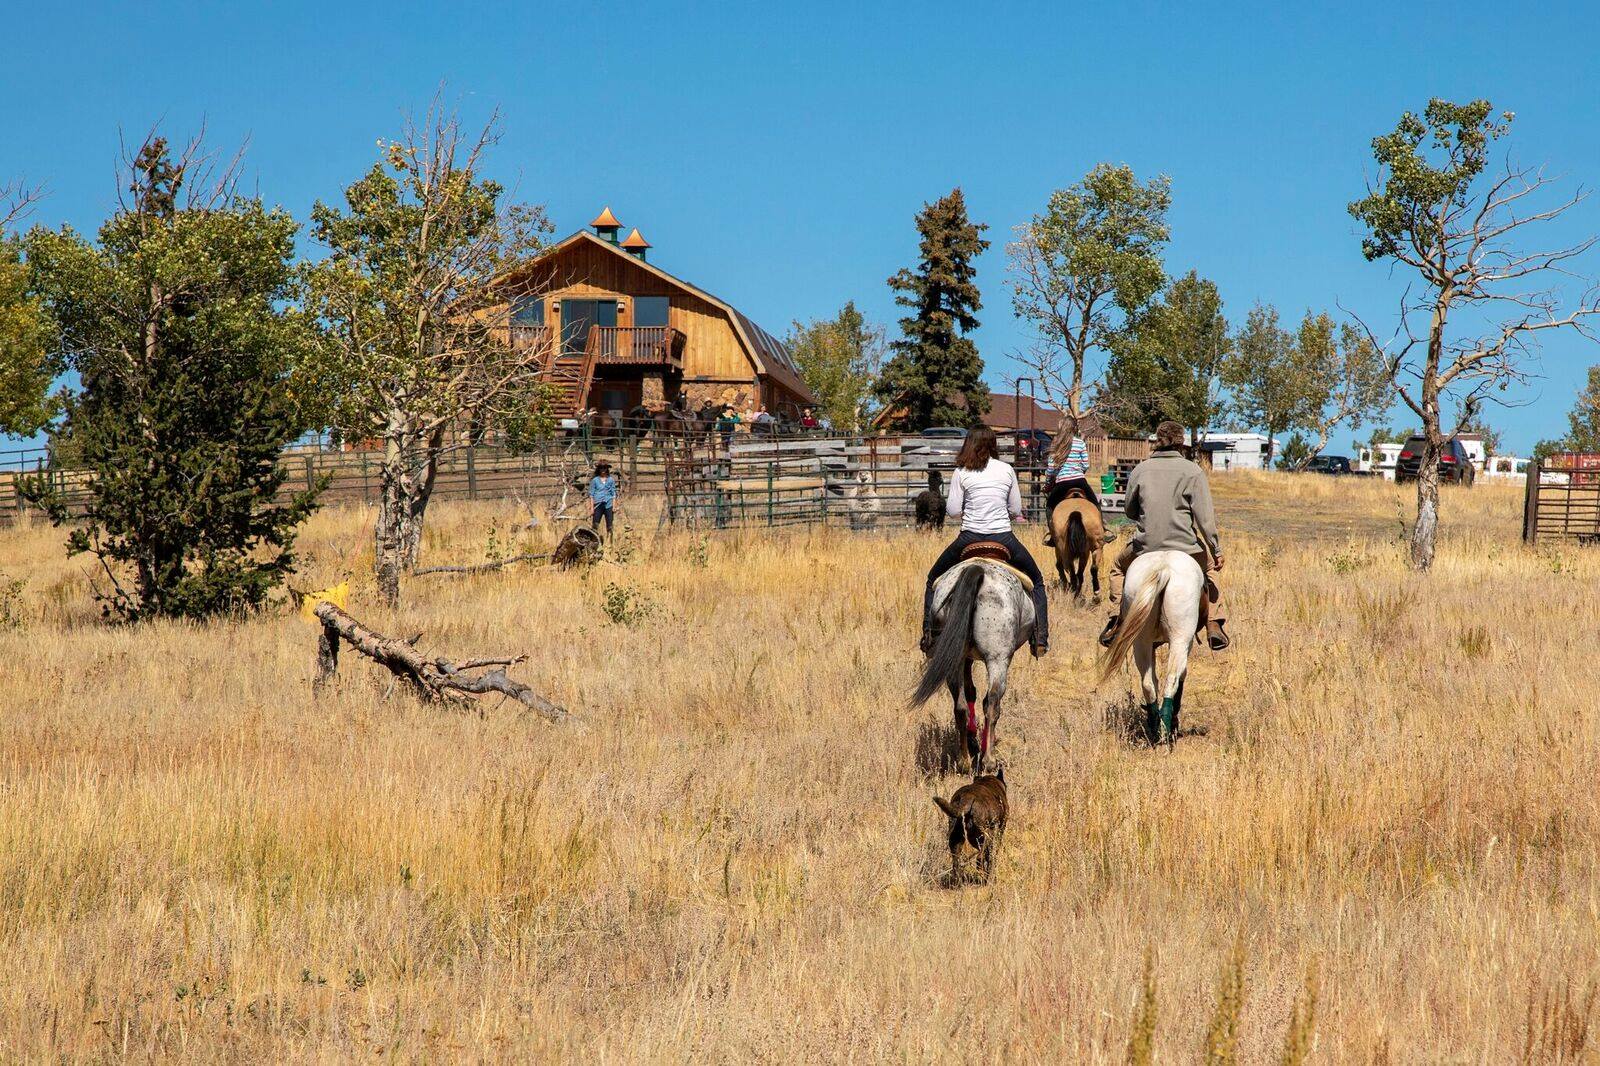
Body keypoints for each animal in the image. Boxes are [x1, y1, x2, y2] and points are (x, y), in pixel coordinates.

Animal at [915, 550, 1036, 768]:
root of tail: (977, 569)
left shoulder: (965, 658)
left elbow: (970, 691)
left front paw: (972, 741)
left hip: (954, 659)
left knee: (960, 706)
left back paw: (964, 760)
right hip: (998, 659)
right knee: (992, 702)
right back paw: (988, 759)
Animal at [1094, 550, 1203, 742]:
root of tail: (1163, 568)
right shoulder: (1185, 643)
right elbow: (1181, 676)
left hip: (1141, 641)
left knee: (1147, 683)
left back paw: (1155, 726)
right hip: (1180, 639)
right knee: (1172, 679)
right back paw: (1167, 728)